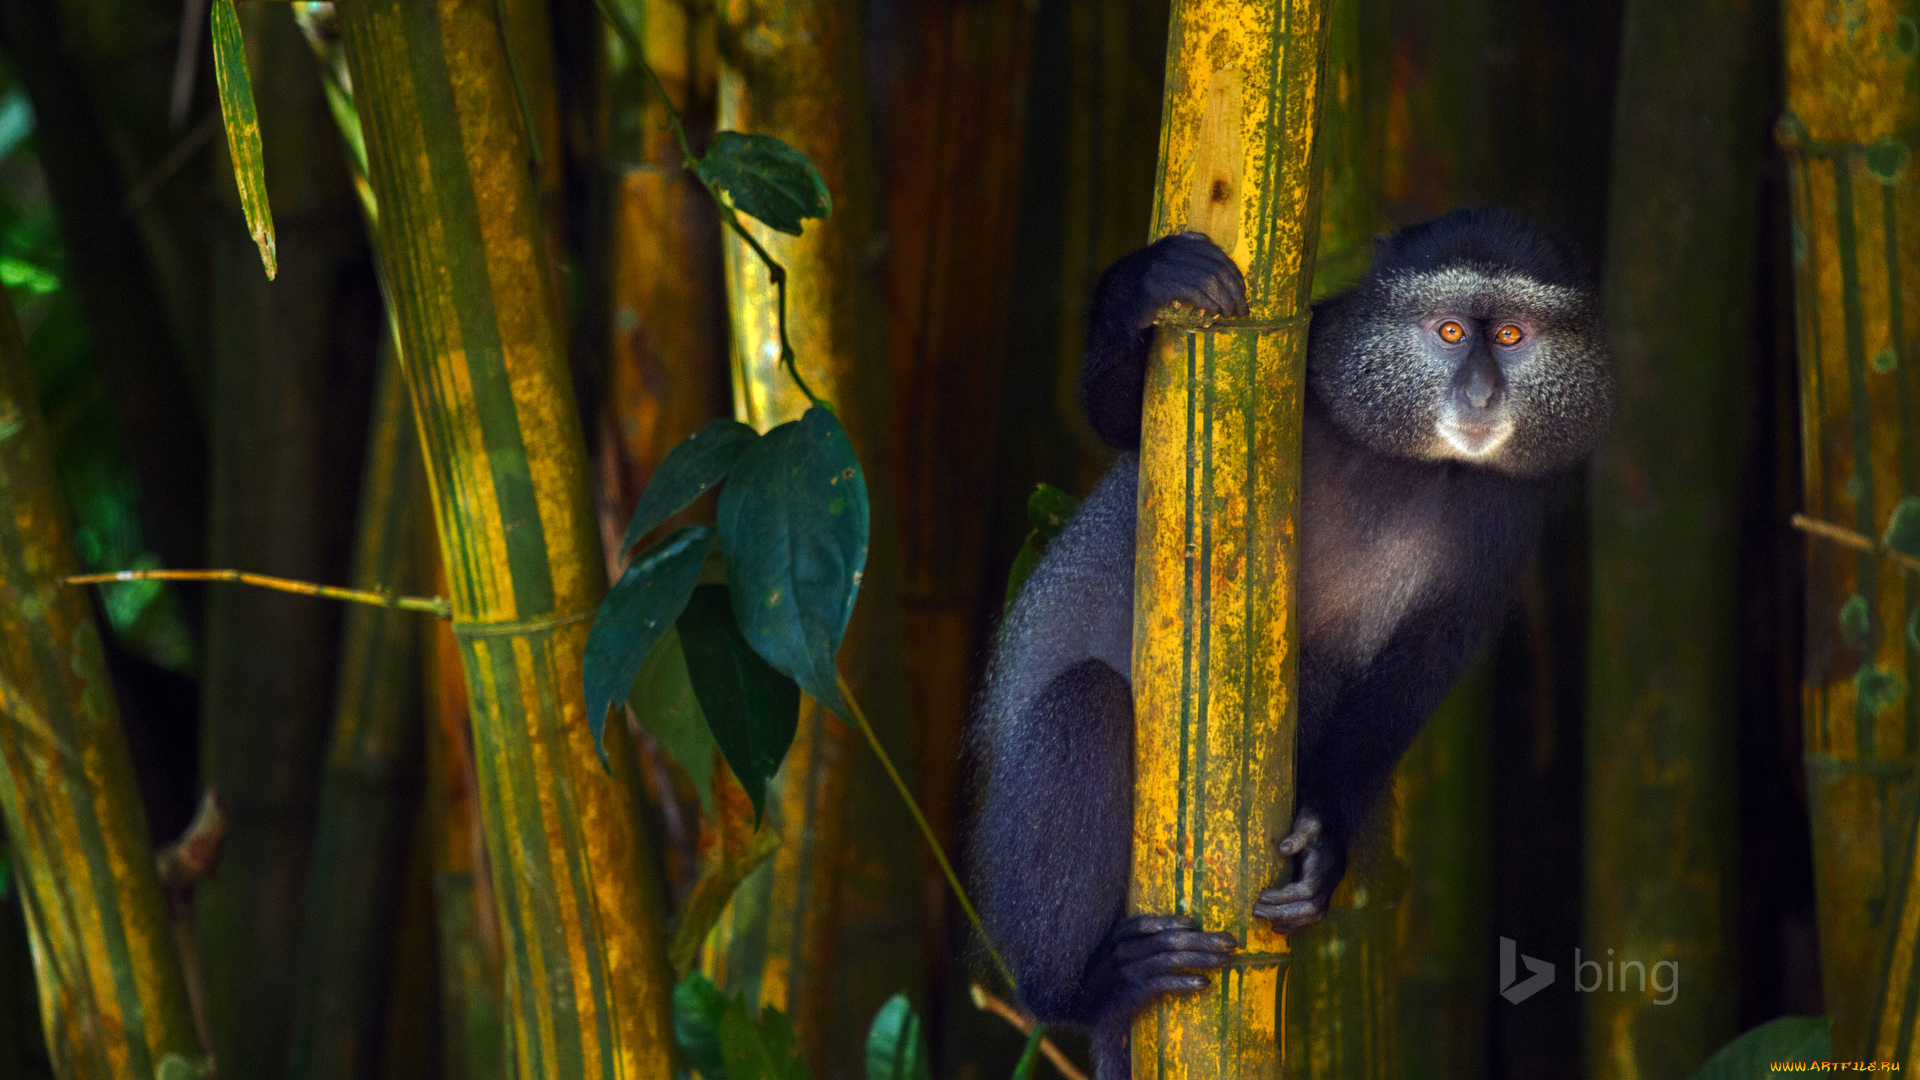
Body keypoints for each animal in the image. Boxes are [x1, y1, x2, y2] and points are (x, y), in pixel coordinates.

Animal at [968, 207, 1612, 1078]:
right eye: (1448, 331)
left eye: (1511, 335)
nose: (1479, 391)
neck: (1415, 463)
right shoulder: (1300, 371)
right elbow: (1127, 419)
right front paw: (1145, 288)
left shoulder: (1512, 519)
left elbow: (1421, 666)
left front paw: (1326, 839)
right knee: (1085, 703)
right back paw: (1087, 991)